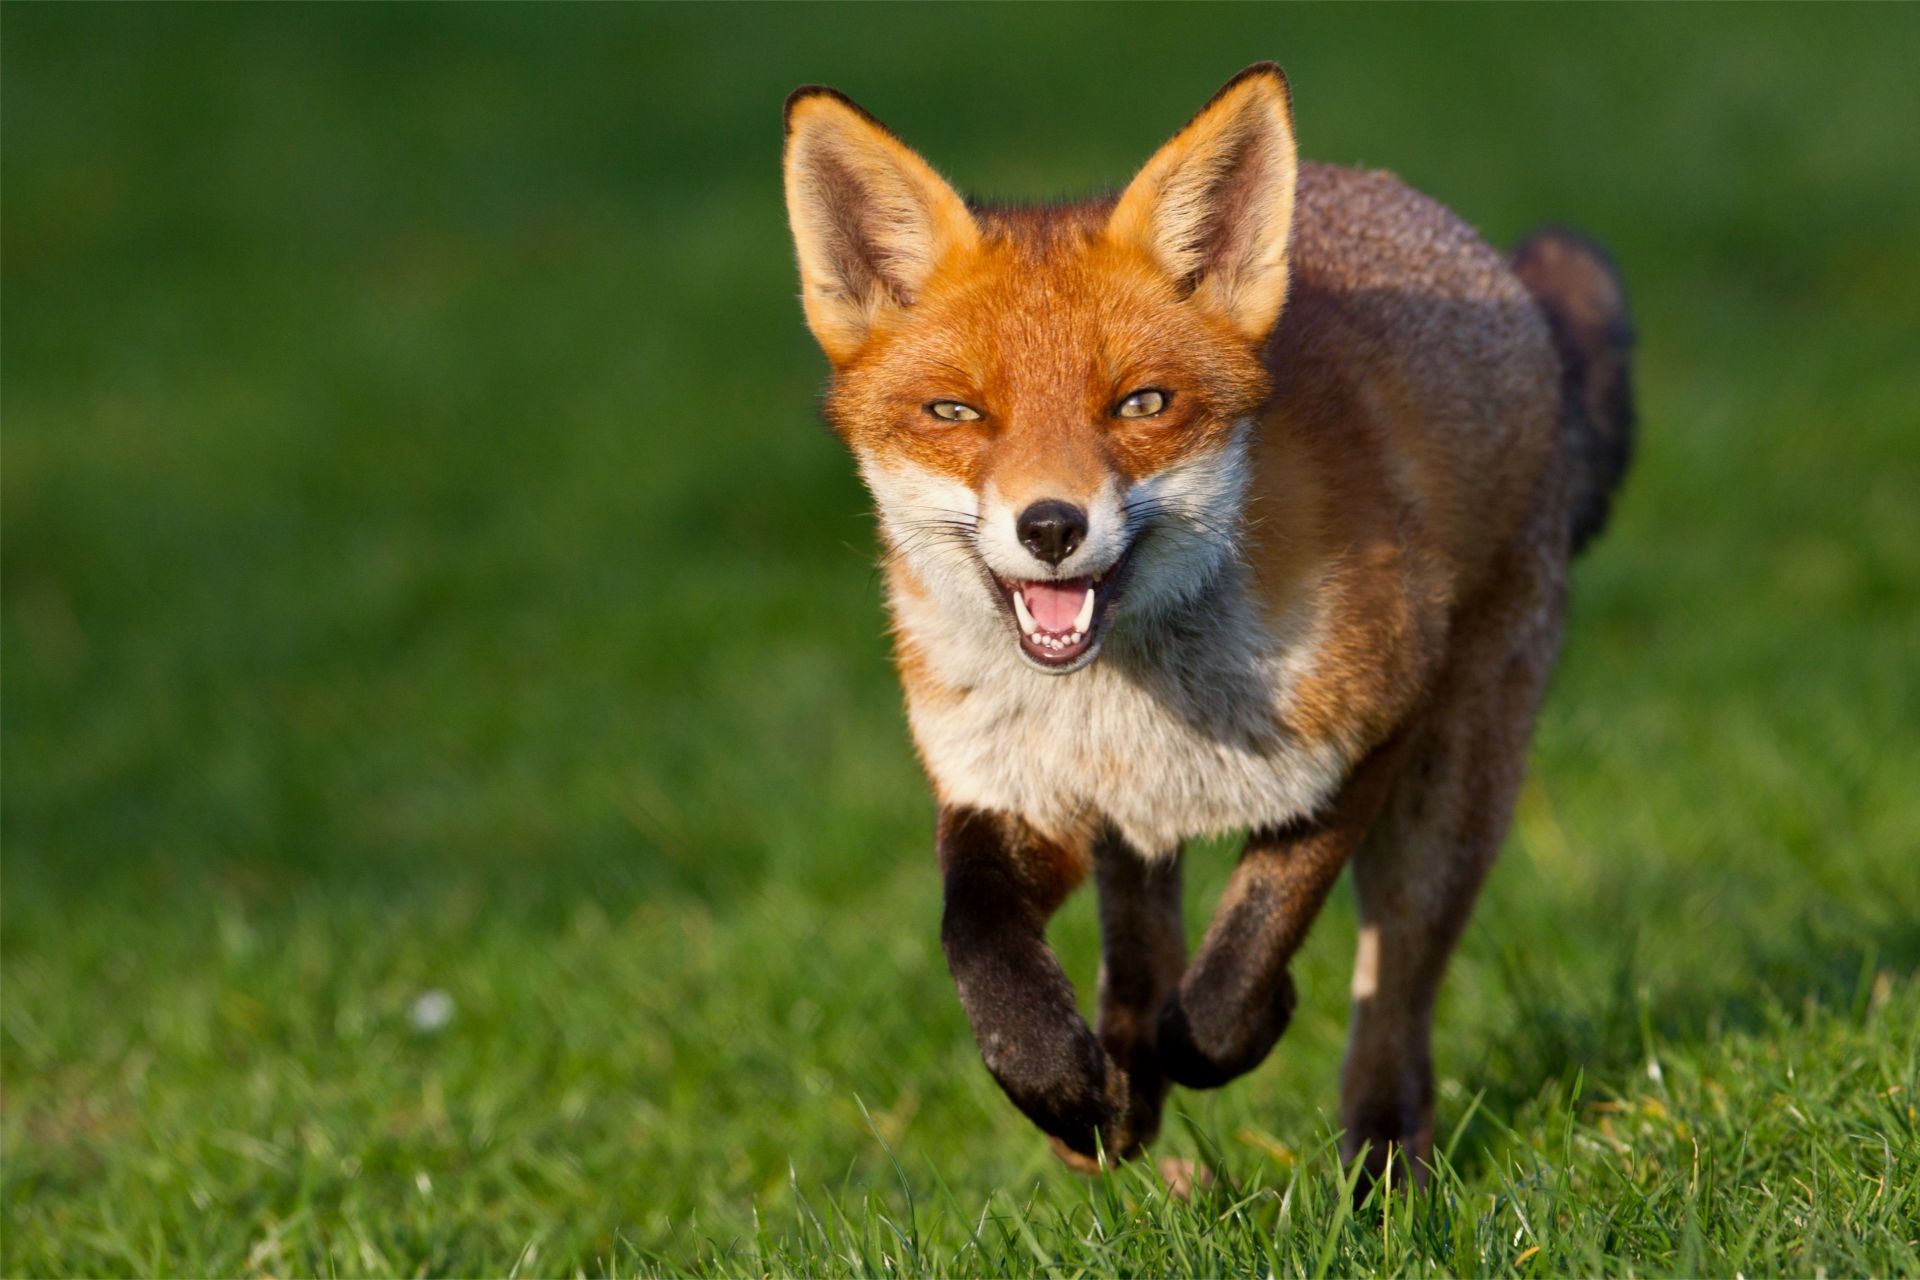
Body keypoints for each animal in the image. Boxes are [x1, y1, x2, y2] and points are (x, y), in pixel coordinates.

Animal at [779, 65, 1635, 1189]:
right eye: (956, 413)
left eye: (1142, 403)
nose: (1050, 526)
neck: (1123, 702)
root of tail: (1466, 245)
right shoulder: (1008, 788)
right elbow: (979, 943)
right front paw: (1059, 1082)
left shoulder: (1363, 737)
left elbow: (1239, 965)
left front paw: (1252, 1021)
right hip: (1136, 830)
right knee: (1138, 947)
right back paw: (1122, 1091)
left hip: (1452, 799)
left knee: (1396, 997)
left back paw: (1381, 1164)